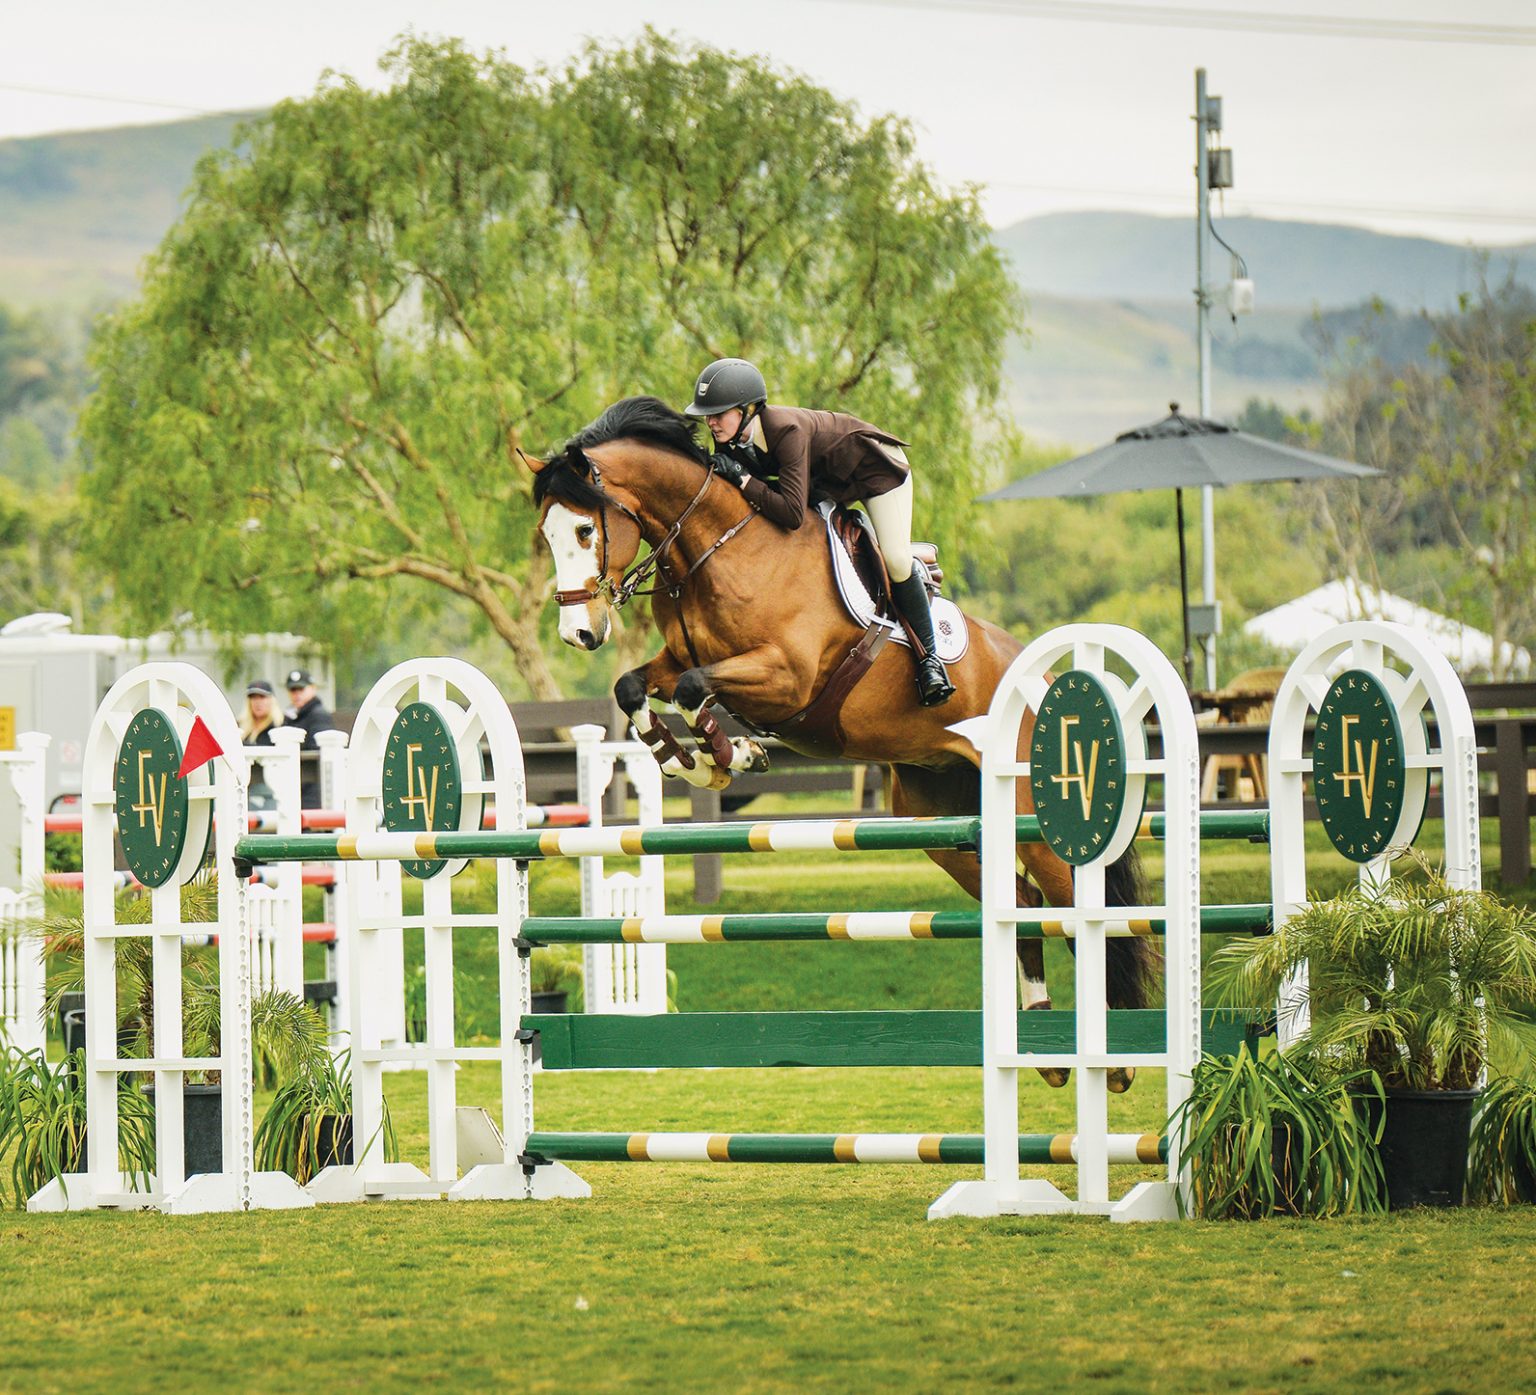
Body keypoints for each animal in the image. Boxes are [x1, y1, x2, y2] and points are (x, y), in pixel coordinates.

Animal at [526, 396, 1158, 1087]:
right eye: (547, 536)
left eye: (585, 533)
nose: (579, 634)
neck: (716, 547)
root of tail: (1042, 680)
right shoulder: (679, 660)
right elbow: (633, 688)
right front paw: (690, 761)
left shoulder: (787, 676)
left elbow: (695, 691)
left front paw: (732, 755)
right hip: (937, 815)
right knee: (1022, 902)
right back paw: (1046, 1046)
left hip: (1033, 822)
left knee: (1073, 908)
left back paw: (1114, 1059)